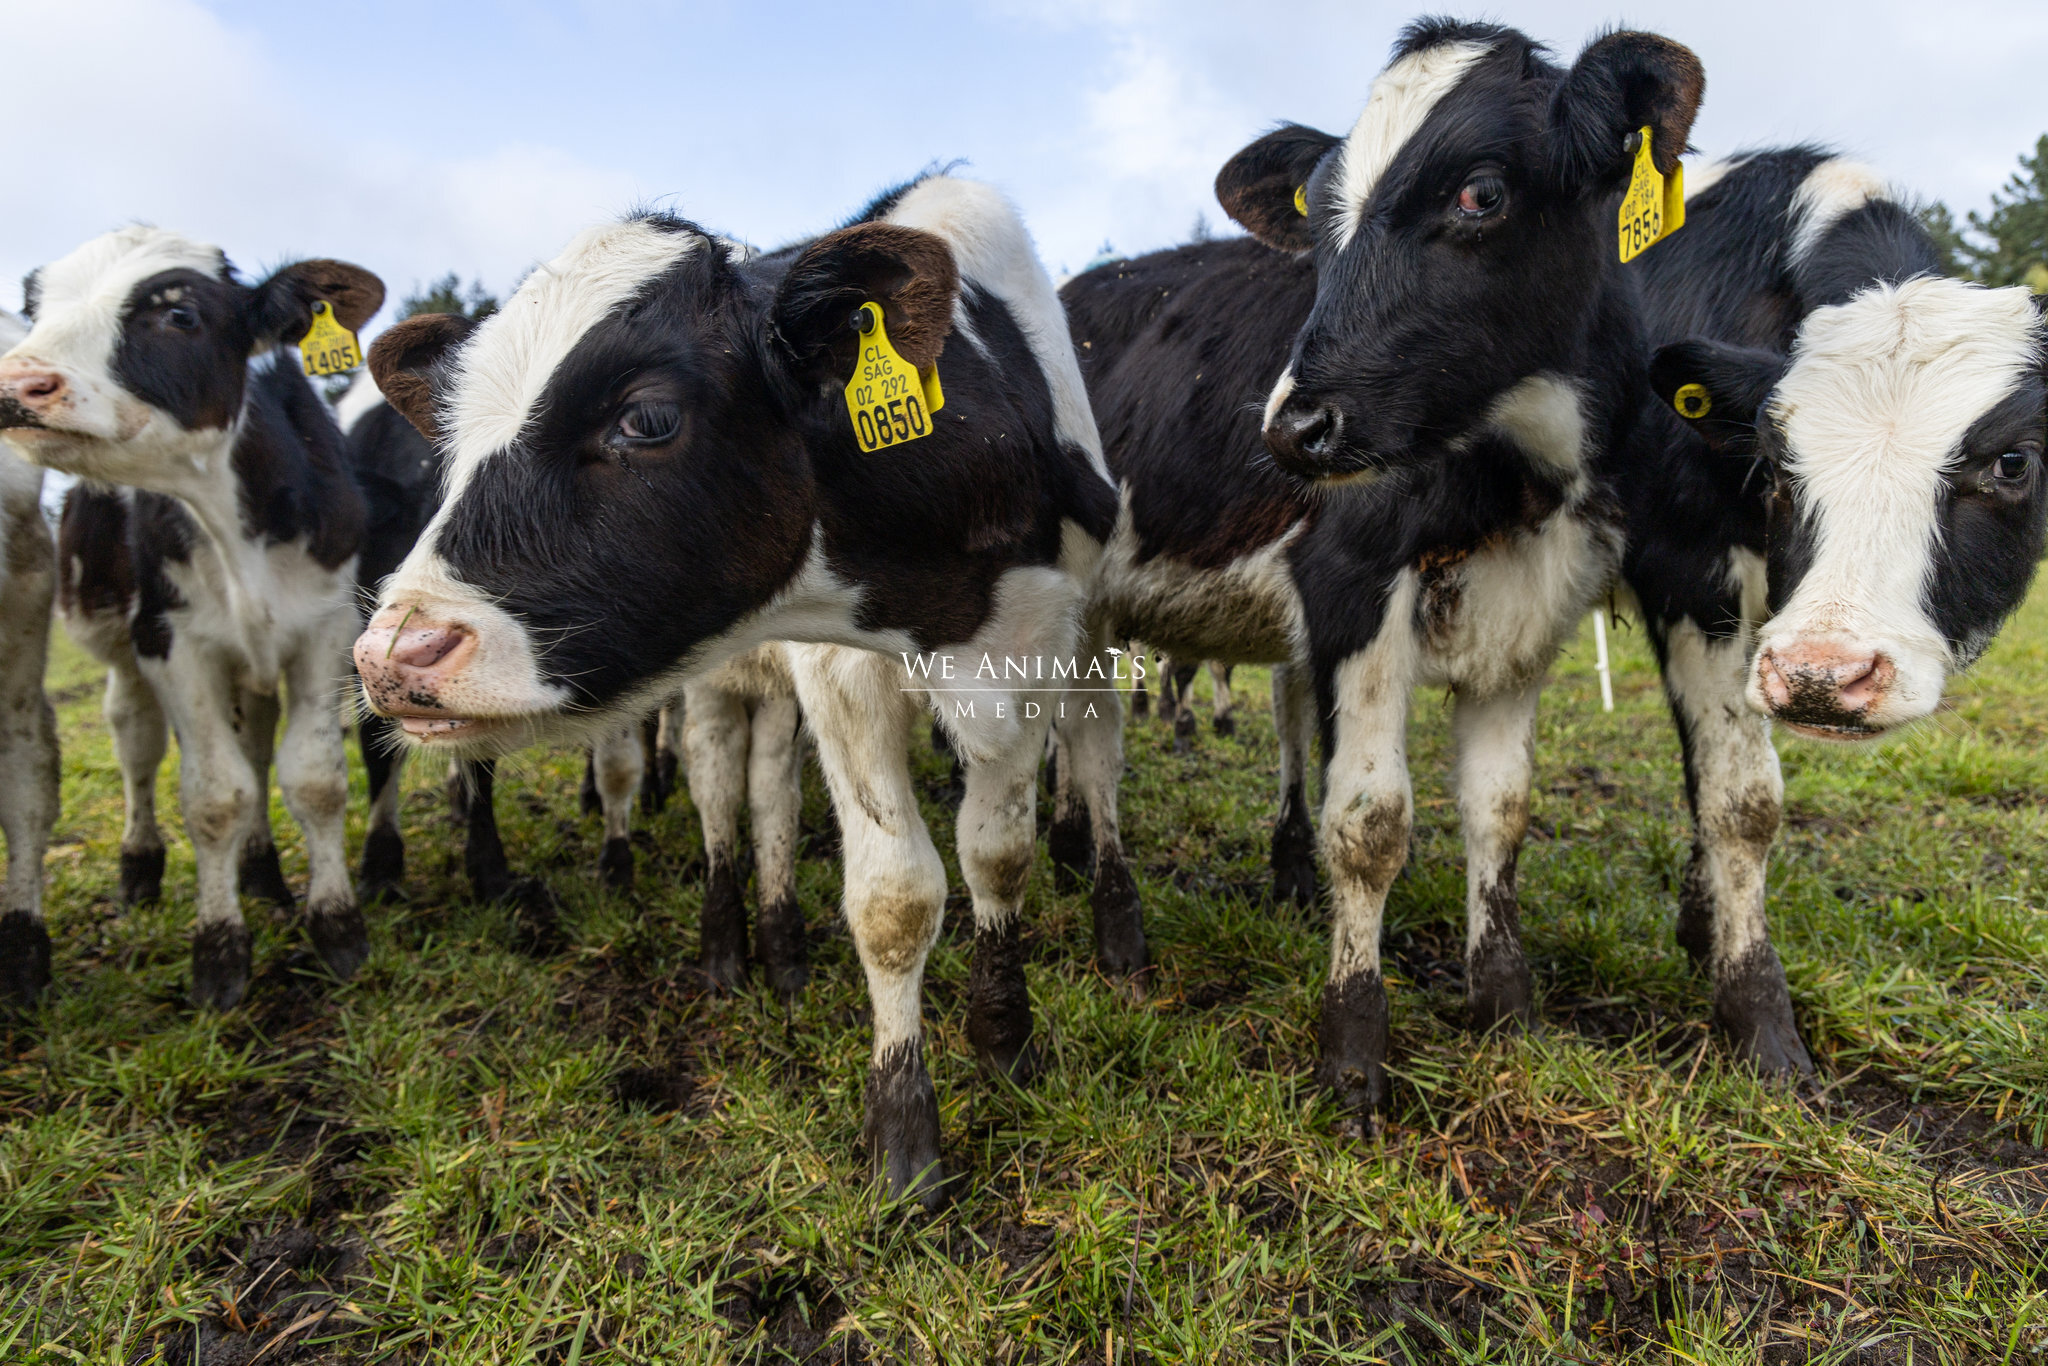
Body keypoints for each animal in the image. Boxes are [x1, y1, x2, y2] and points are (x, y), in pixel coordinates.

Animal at [0, 228, 382, 1009]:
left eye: (179, 315)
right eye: (39, 311)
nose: (18, 384)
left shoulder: (326, 627)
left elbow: (313, 778)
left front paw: (335, 925)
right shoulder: (169, 641)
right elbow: (213, 796)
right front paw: (219, 948)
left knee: (258, 744)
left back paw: (263, 872)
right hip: (113, 642)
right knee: (136, 743)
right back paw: (141, 867)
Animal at [348, 175, 1118, 1205]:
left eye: (646, 418)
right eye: (452, 439)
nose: (396, 651)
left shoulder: (1037, 649)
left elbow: (998, 858)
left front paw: (1005, 1043)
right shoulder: (842, 675)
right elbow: (896, 897)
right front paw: (905, 1140)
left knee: (767, 803)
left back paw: (782, 949)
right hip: (717, 694)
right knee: (723, 801)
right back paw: (728, 951)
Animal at [1055, 20, 1709, 1111]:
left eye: (1480, 192)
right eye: (1318, 220)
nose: (1292, 427)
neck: (1516, 476)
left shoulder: (1532, 610)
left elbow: (1502, 810)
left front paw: (1506, 1007)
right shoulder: (1349, 586)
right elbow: (1368, 824)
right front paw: (1352, 1052)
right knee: (1095, 751)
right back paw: (1116, 932)